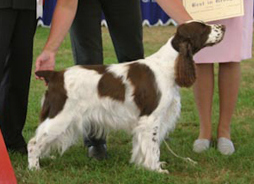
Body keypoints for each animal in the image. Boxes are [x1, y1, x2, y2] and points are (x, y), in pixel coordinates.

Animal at [28, 20, 225, 173]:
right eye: (203, 28)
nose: (223, 26)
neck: (169, 65)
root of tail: (54, 75)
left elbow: (142, 146)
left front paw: (143, 165)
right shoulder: (151, 118)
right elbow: (153, 147)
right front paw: (156, 169)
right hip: (61, 117)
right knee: (33, 142)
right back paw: (34, 168)